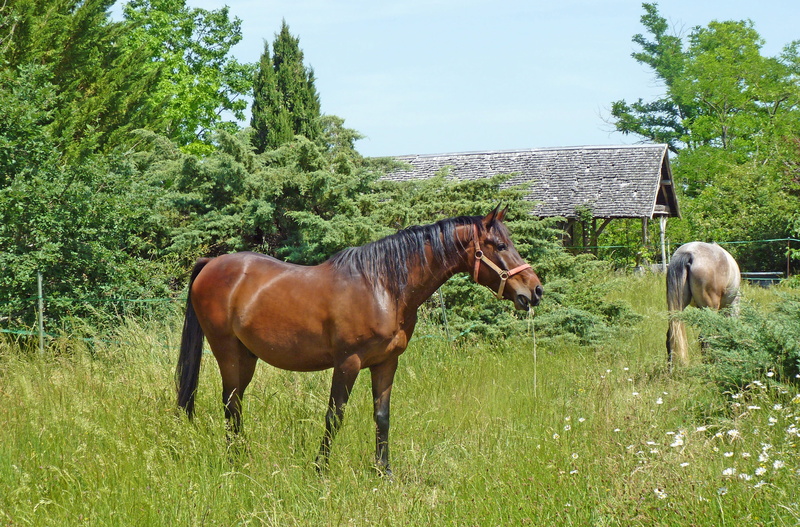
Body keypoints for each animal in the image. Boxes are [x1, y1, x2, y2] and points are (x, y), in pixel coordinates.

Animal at [175, 207, 543, 475]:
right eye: (499, 246)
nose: (535, 290)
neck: (383, 286)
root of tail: (212, 263)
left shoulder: (386, 363)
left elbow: (382, 416)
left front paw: (384, 472)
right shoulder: (347, 363)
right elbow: (334, 415)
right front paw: (320, 470)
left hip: (247, 356)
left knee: (236, 405)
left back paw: (242, 458)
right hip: (227, 351)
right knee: (230, 403)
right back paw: (235, 462)